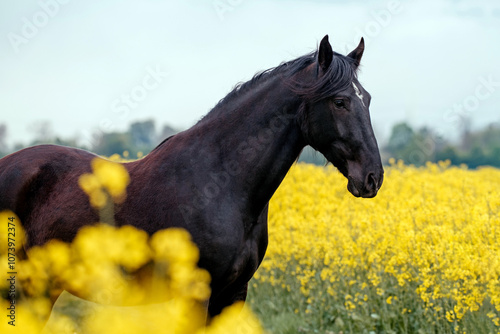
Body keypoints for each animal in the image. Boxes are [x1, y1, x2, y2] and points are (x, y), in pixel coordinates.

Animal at [0, 35, 382, 318]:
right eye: (339, 102)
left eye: (367, 98)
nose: (372, 178)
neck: (222, 184)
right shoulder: (198, 295)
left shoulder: (234, 294)